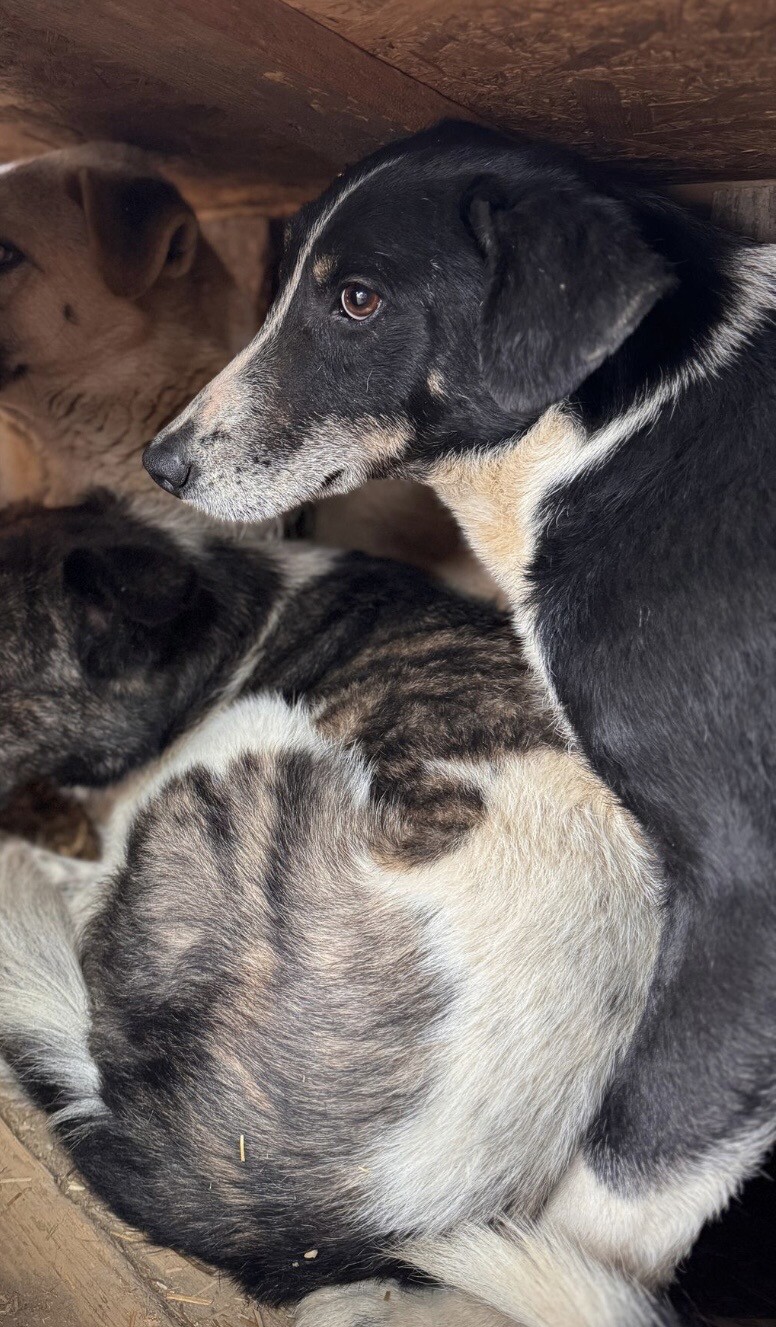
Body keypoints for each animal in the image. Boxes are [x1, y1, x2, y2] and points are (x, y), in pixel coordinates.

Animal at [143, 119, 776, 1324]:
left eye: (356, 301)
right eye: (283, 282)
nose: (162, 463)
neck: (614, 430)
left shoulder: (743, 891)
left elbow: (626, 1176)